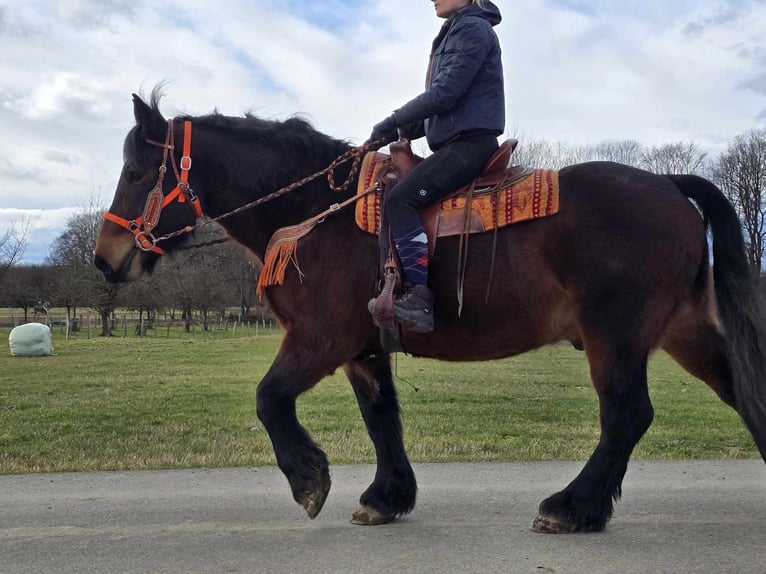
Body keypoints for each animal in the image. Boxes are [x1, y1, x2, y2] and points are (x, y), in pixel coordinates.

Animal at [96, 90, 766, 536]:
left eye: (134, 170)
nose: (105, 260)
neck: (317, 213)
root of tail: (669, 184)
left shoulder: (321, 336)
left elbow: (269, 399)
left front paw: (309, 478)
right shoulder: (363, 347)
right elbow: (381, 418)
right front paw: (387, 496)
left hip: (615, 335)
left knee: (626, 415)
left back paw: (572, 507)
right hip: (682, 331)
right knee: (737, 390)